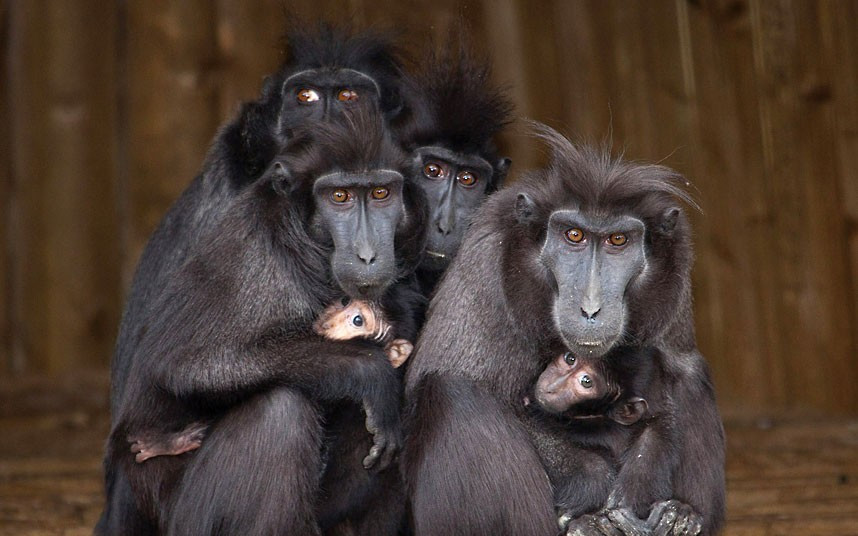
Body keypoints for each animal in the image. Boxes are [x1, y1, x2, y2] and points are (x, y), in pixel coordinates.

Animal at [98, 109, 426, 535]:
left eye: (381, 193)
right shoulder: (258, 257)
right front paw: (367, 369)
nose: (368, 254)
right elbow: (179, 364)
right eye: (340, 197)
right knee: (279, 412)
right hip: (171, 506)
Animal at [402, 123, 725, 536]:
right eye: (573, 236)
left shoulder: (675, 273)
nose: (590, 308)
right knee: (451, 392)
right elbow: (480, 387)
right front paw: (595, 486)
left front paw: (646, 495)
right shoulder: (489, 259)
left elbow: (667, 392)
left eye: (617, 240)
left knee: (690, 373)